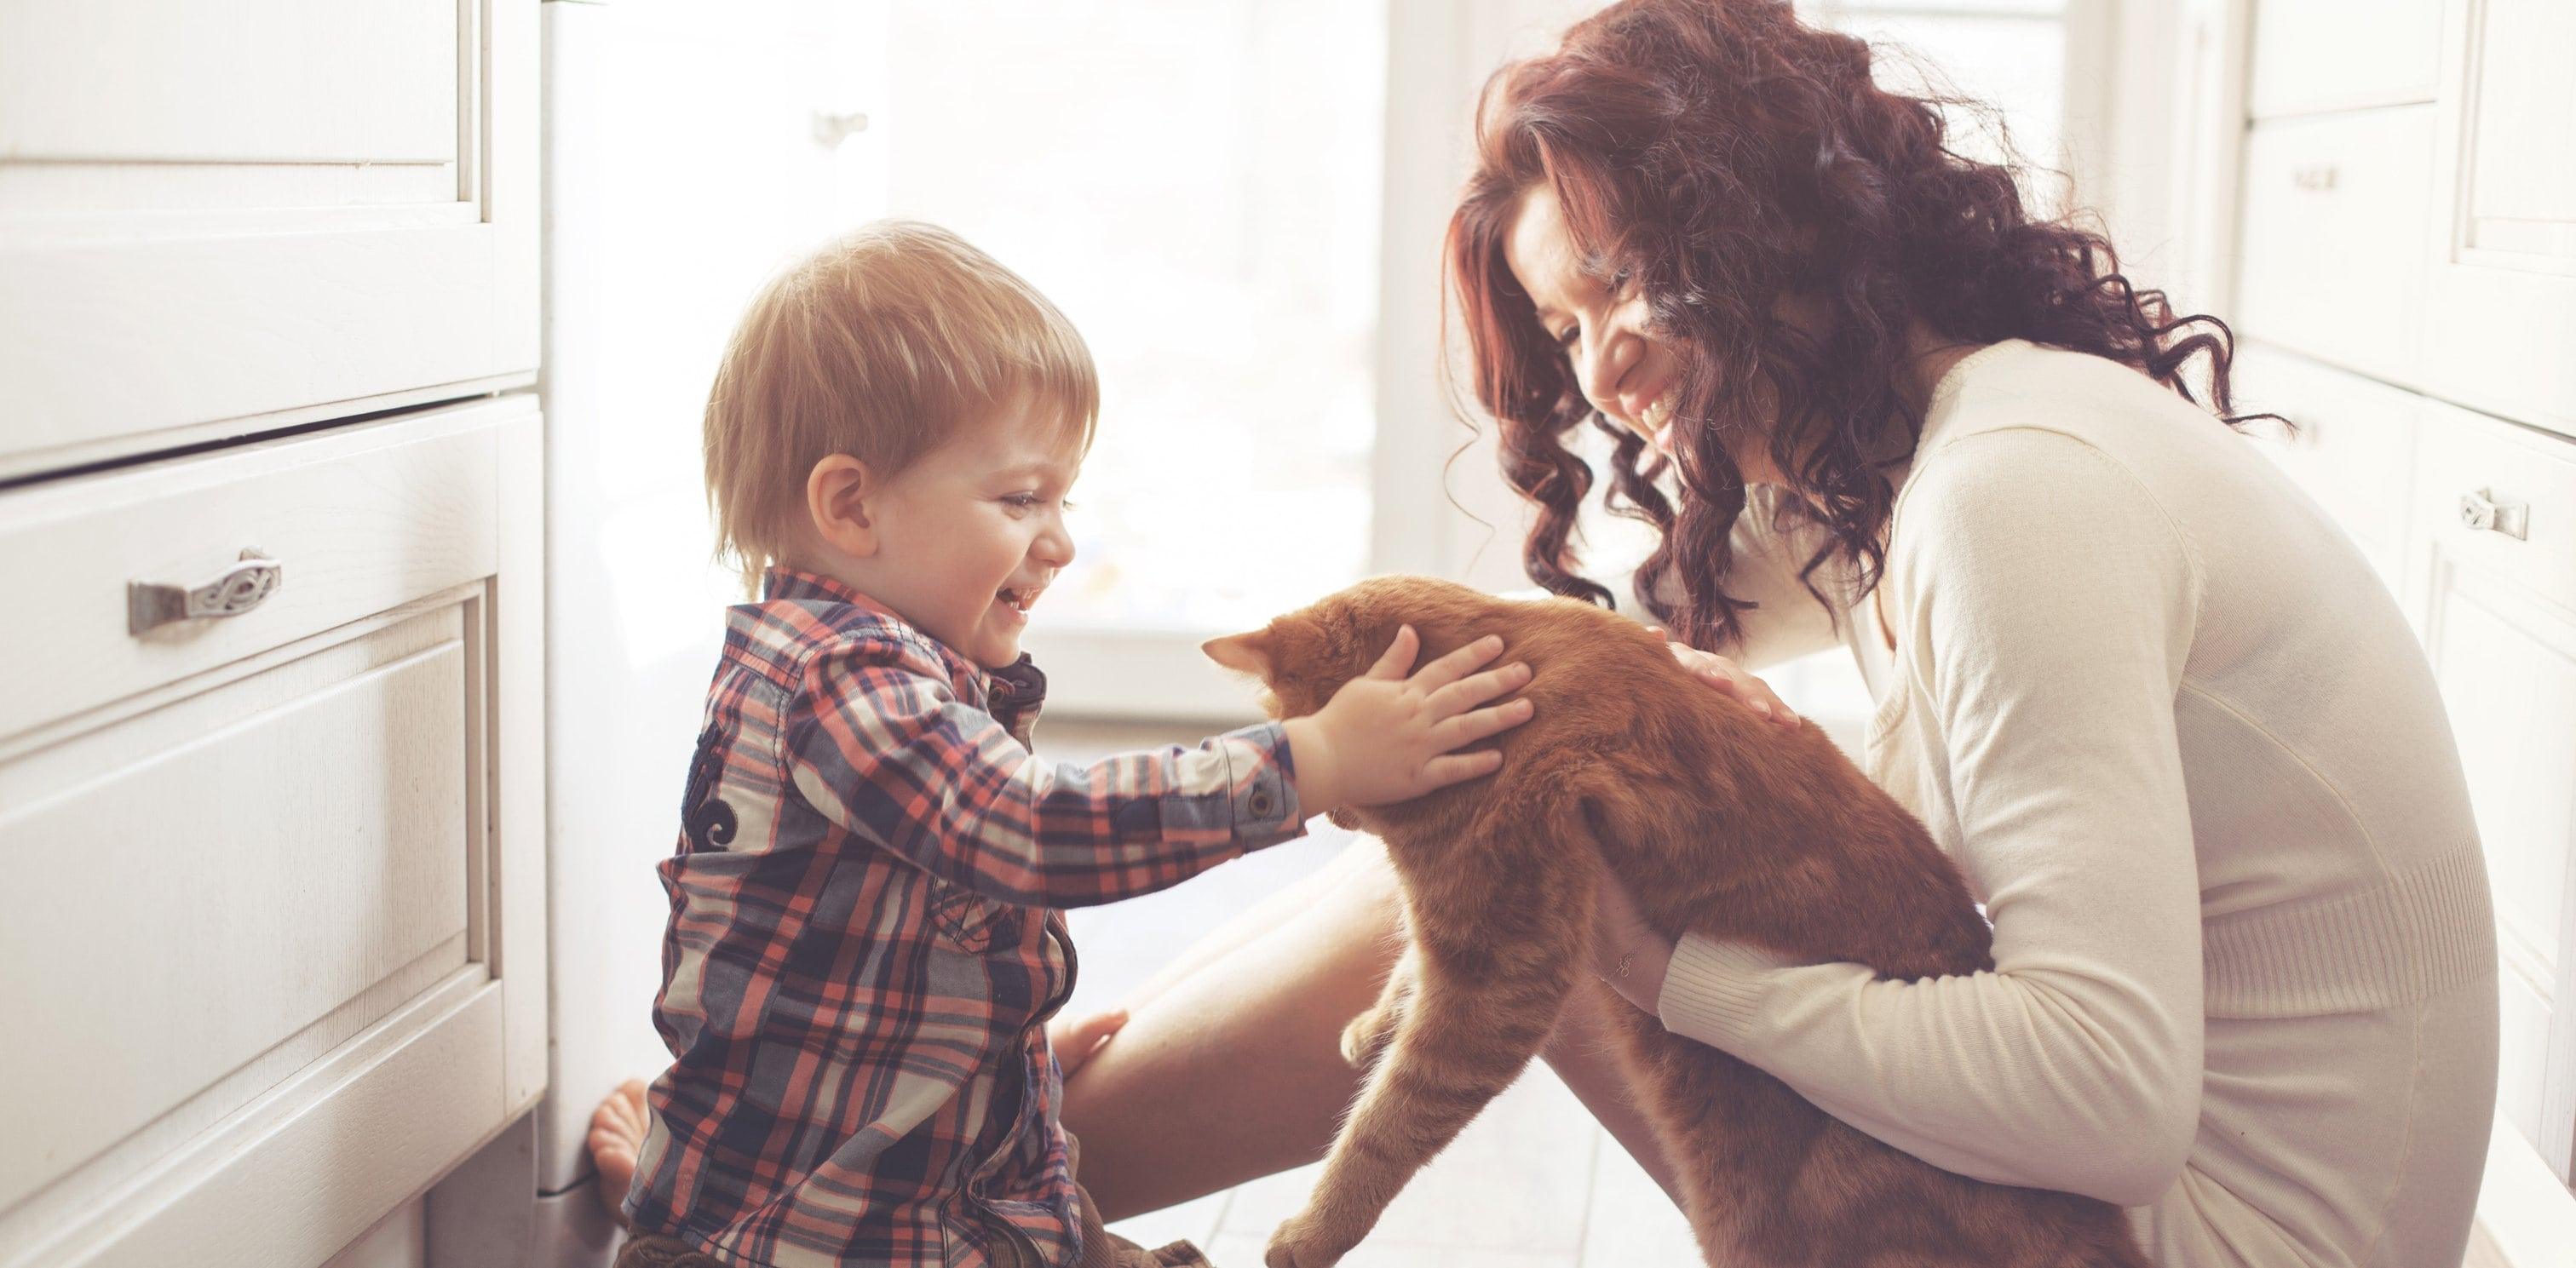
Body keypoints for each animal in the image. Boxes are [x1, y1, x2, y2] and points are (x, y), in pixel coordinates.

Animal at [1205, 577, 2153, 1268]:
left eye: (1298, 739)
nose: (1330, 817)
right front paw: (1374, 1022)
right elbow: (1406, 977)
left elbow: (1387, 1123)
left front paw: (1311, 1233)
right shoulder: (1462, 932)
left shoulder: (1498, 970)